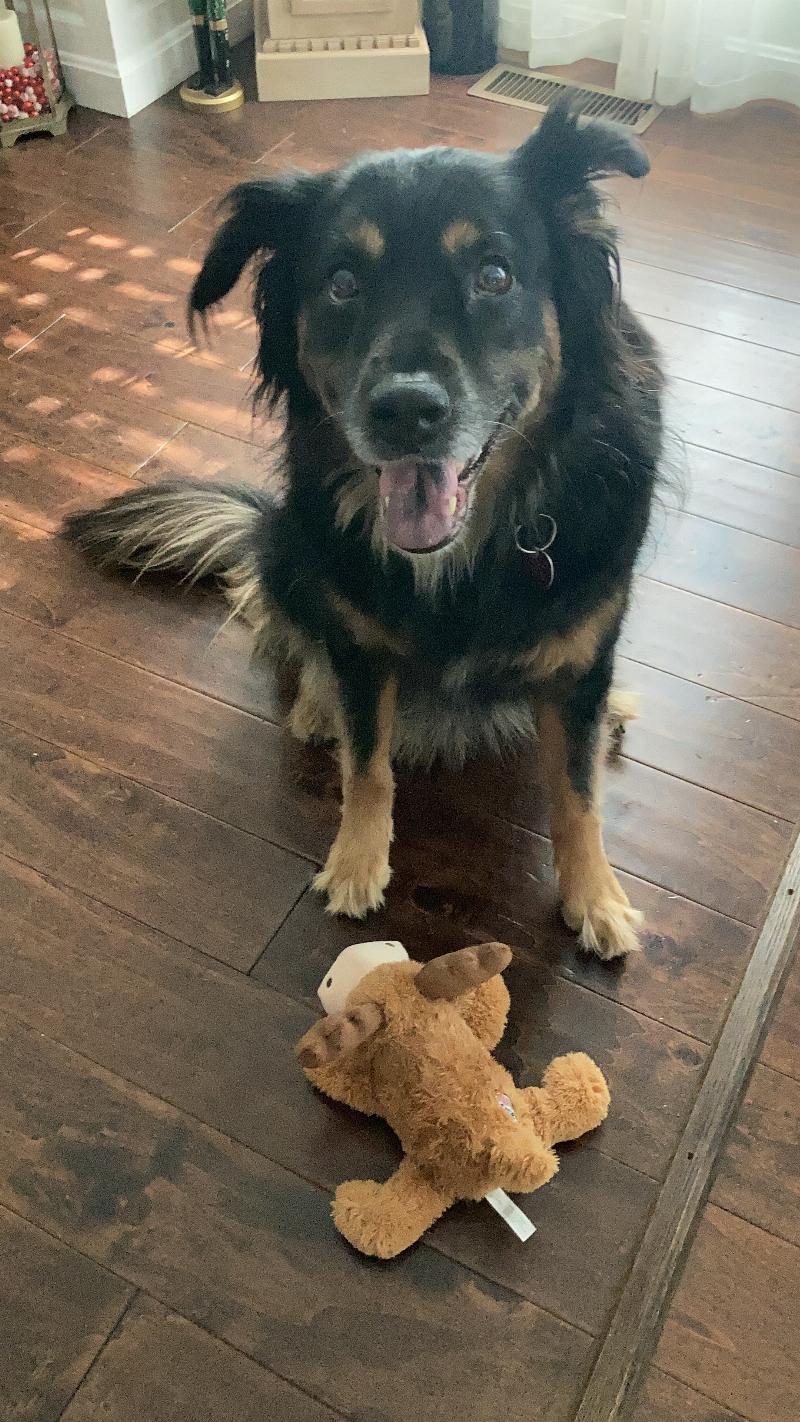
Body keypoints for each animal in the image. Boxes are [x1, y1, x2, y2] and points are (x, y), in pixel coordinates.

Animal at [63, 103, 663, 960]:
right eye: (343, 284)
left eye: (494, 275)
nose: (404, 411)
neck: (466, 554)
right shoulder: (361, 647)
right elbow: (368, 764)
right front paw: (355, 862)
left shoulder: (582, 657)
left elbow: (576, 793)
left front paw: (597, 898)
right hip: (289, 543)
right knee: (290, 627)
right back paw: (315, 708)